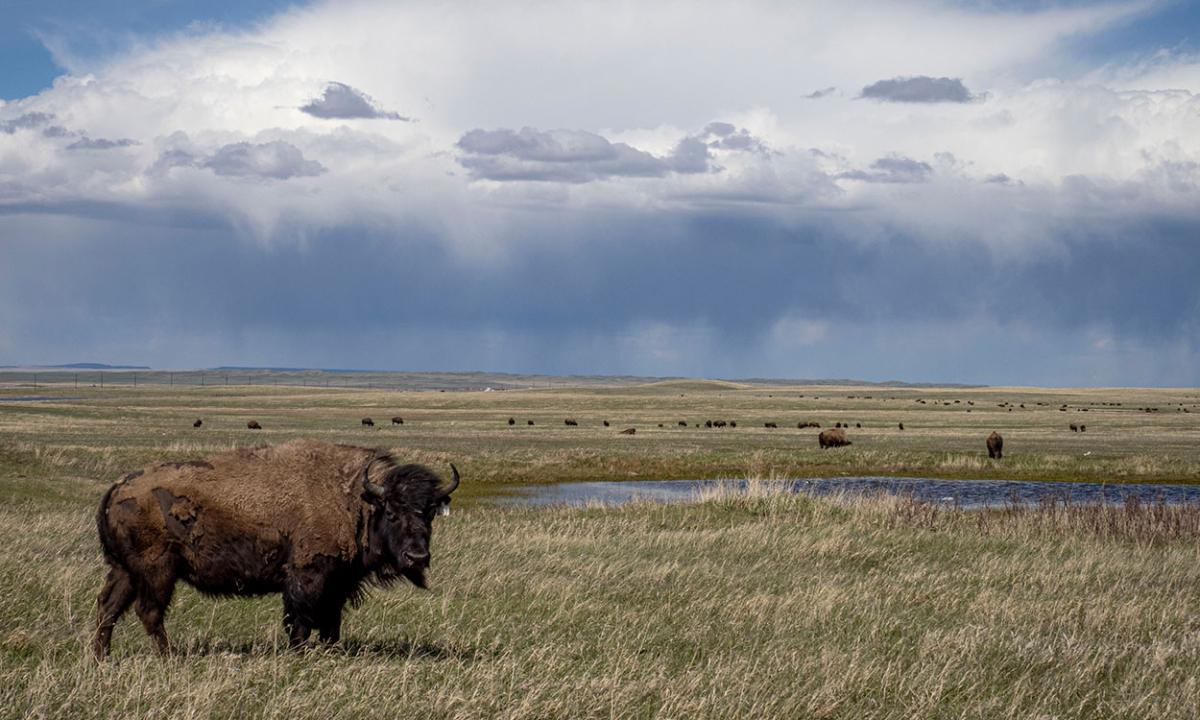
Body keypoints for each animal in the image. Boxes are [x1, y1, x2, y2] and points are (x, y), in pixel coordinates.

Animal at [92, 440, 459, 658]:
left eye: (429, 512)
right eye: (393, 511)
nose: (417, 556)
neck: (355, 499)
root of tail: (117, 487)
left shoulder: (338, 583)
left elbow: (331, 622)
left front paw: (330, 651)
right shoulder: (306, 578)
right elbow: (300, 620)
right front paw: (298, 654)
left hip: (124, 571)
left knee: (108, 607)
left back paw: (102, 658)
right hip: (158, 571)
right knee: (149, 612)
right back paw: (170, 656)